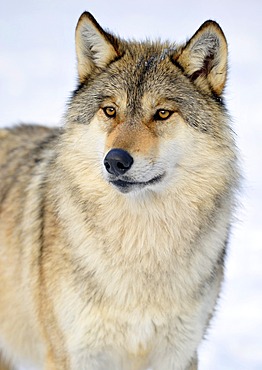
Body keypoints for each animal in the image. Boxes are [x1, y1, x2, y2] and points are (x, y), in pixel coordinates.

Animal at [0, 11, 238, 370]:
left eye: (162, 113)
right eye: (111, 111)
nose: (115, 161)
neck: (139, 245)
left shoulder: (179, 354)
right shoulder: (74, 355)